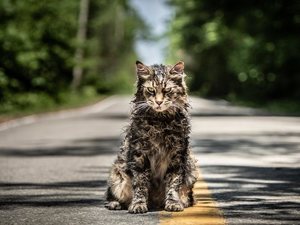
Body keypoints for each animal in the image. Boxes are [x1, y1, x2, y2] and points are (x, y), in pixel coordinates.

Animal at [104, 60, 198, 214]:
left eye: (167, 91)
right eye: (151, 90)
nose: (159, 102)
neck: (160, 122)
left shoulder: (177, 155)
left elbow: (173, 183)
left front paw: (173, 203)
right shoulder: (140, 155)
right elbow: (140, 184)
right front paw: (138, 204)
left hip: (191, 169)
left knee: (187, 196)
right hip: (116, 175)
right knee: (112, 195)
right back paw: (115, 204)